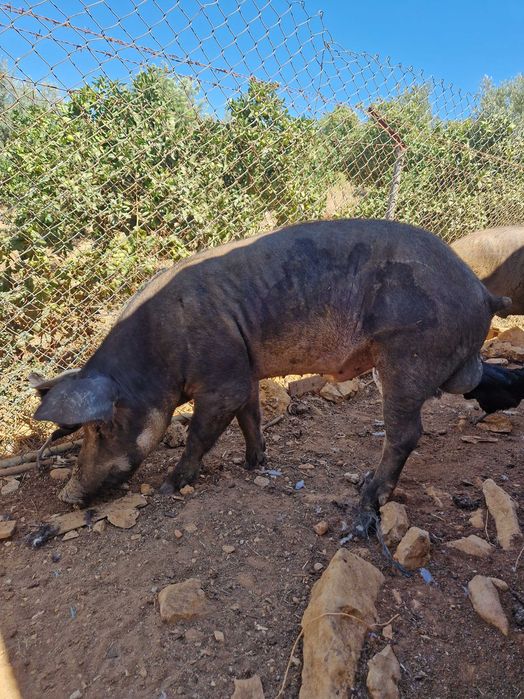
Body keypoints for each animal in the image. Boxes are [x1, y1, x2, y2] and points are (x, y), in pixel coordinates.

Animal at [31, 219, 509, 516]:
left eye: (100, 427)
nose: (68, 495)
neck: (157, 353)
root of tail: (481, 292)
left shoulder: (221, 377)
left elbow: (200, 434)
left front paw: (169, 486)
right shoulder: (243, 371)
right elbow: (251, 416)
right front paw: (254, 463)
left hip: (408, 354)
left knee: (406, 432)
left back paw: (366, 497)